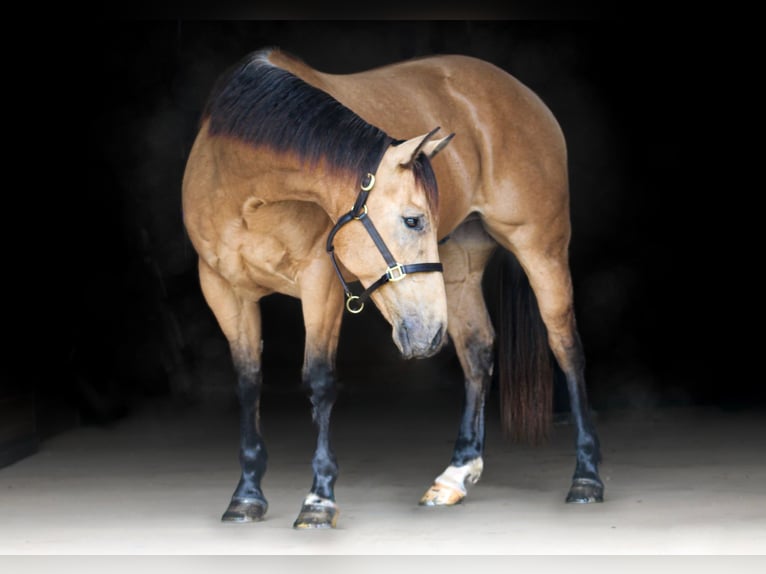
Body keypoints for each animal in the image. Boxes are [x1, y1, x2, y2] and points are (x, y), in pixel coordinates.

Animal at [182, 48, 604, 528]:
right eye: (414, 220)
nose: (428, 335)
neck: (243, 195)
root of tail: (523, 93)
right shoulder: (222, 291)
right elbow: (249, 382)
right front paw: (247, 494)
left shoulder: (321, 285)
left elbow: (319, 380)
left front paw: (319, 500)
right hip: (459, 262)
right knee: (477, 350)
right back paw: (455, 475)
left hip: (541, 248)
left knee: (566, 347)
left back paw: (586, 477)